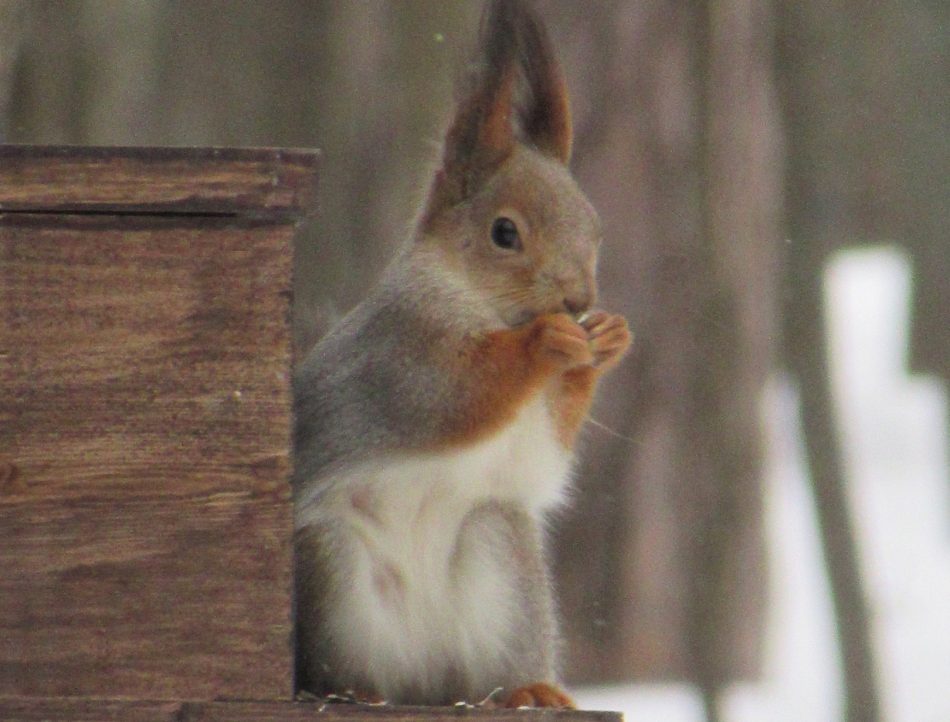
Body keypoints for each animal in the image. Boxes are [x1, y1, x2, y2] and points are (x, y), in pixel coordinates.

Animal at [290, 0, 632, 708]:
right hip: (331, 562)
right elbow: (461, 398)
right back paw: (355, 691)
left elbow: (543, 451)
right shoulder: (404, 356)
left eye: (595, 229)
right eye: (504, 233)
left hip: (500, 543)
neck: (481, 307)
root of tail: (423, 681)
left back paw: (528, 690)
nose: (578, 302)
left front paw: (603, 345)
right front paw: (543, 343)